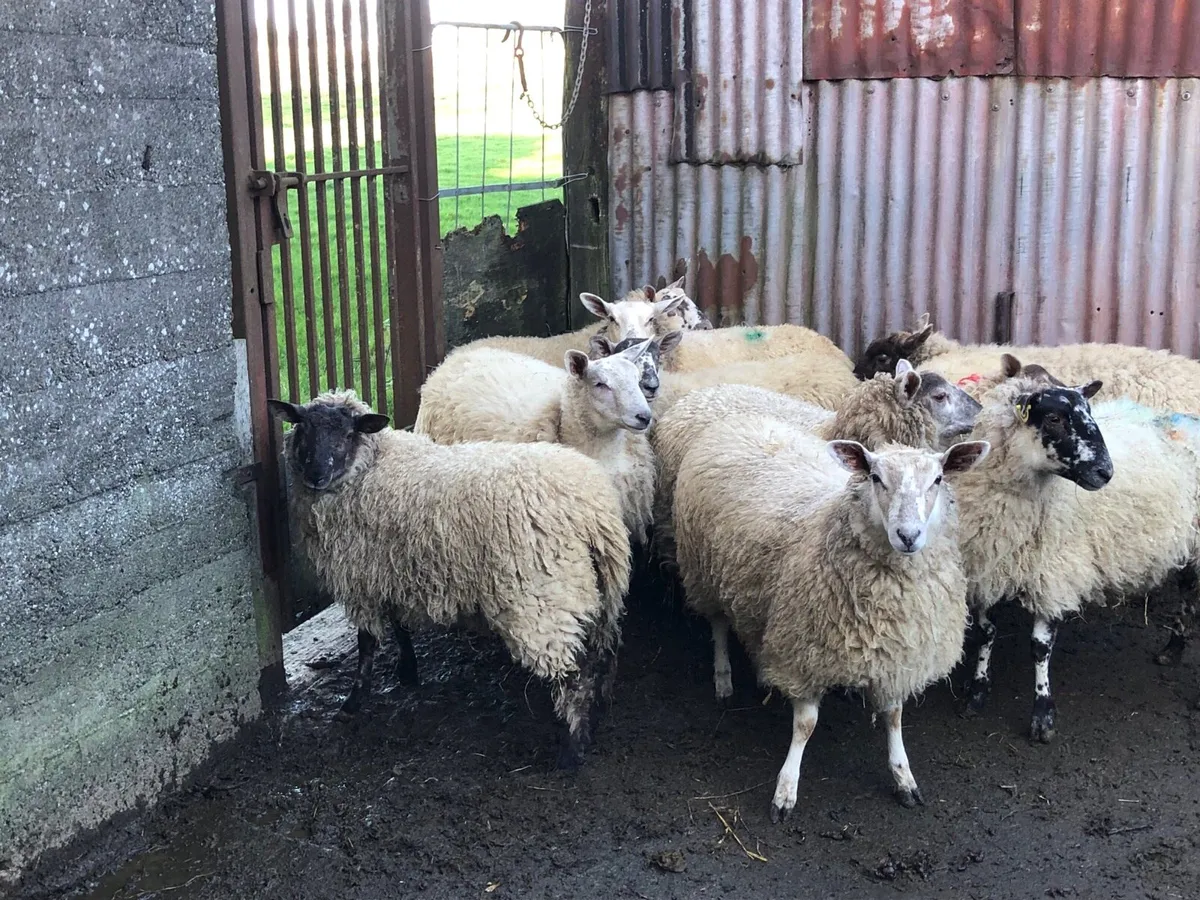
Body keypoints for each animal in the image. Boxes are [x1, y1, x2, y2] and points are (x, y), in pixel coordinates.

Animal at [269, 390, 632, 769]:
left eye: (349, 432)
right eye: (303, 426)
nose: (316, 473)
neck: (370, 467)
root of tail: (591, 513)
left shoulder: (360, 578)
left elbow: (367, 642)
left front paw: (352, 703)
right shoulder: (392, 568)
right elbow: (399, 623)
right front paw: (408, 671)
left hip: (544, 597)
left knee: (574, 673)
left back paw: (572, 750)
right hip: (601, 589)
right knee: (603, 652)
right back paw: (598, 712)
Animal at [672, 414, 989, 816]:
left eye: (937, 479)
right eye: (875, 477)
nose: (908, 535)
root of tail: (741, 420)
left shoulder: (897, 655)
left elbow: (894, 717)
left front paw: (903, 777)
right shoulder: (805, 651)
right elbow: (806, 725)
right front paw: (786, 789)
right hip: (703, 572)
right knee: (718, 626)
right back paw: (723, 678)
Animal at [953, 375, 1200, 742]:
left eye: (1090, 413)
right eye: (1054, 418)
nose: (1105, 472)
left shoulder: (1053, 573)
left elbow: (1040, 646)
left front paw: (1043, 716)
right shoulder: (987, 566)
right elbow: (986, 632)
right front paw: (977, 691)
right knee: (1187, 587)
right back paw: (1174, 648)